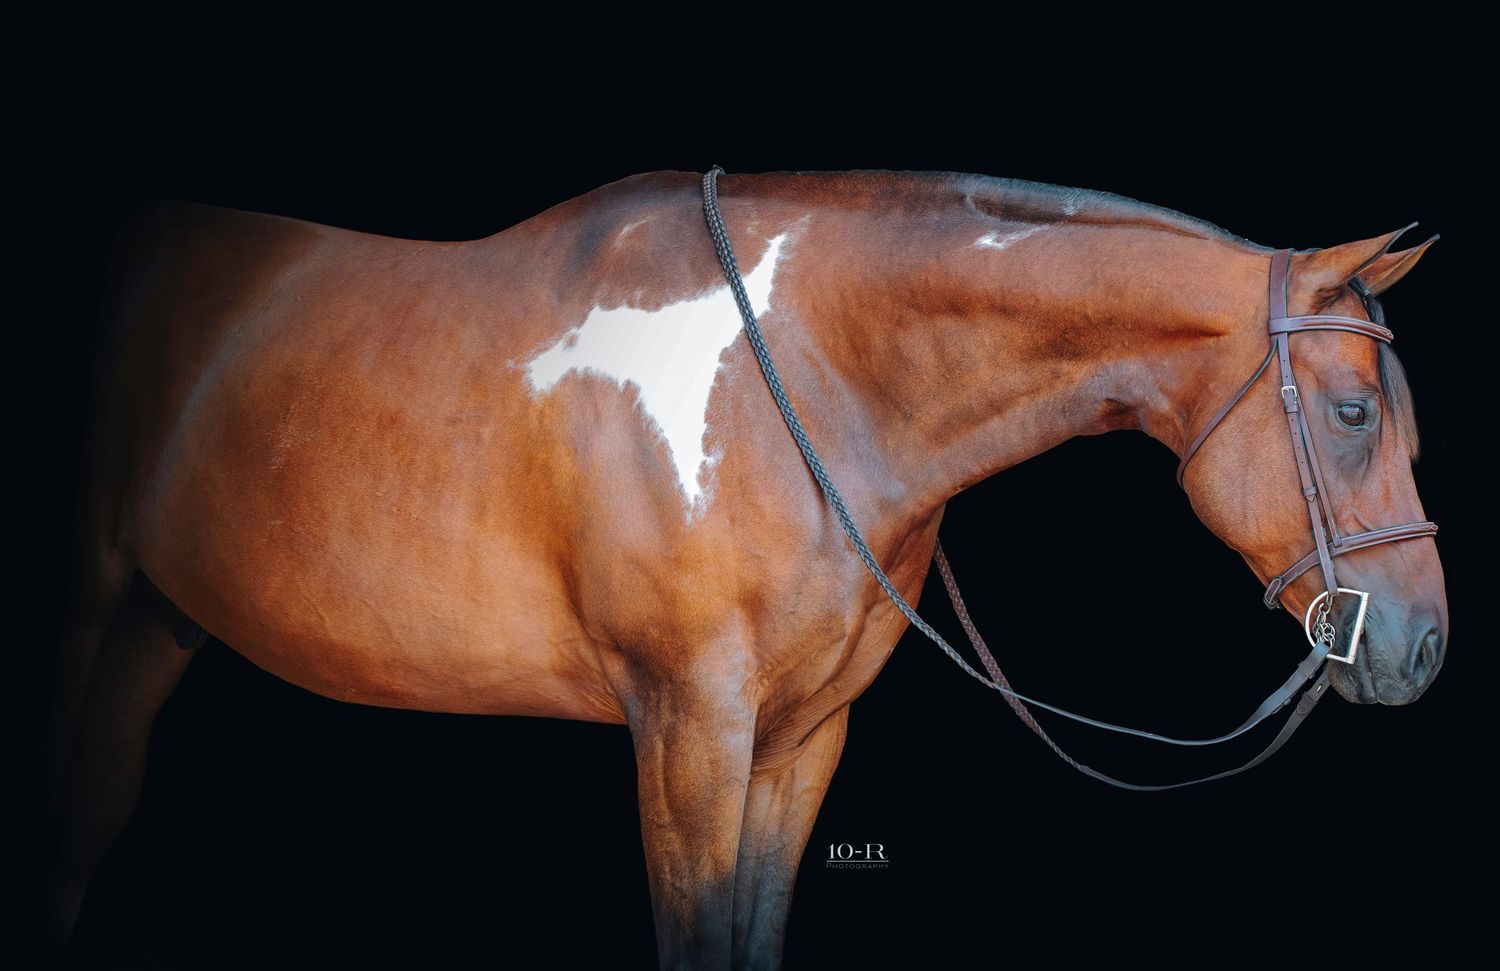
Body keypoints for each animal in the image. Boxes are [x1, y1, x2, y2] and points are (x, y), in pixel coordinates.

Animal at [48, 168, 1446, 969]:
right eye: (1352, 412)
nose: (1421, 646)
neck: (808, 374)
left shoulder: (798, 739)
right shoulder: (687, 730)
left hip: (155, 632)